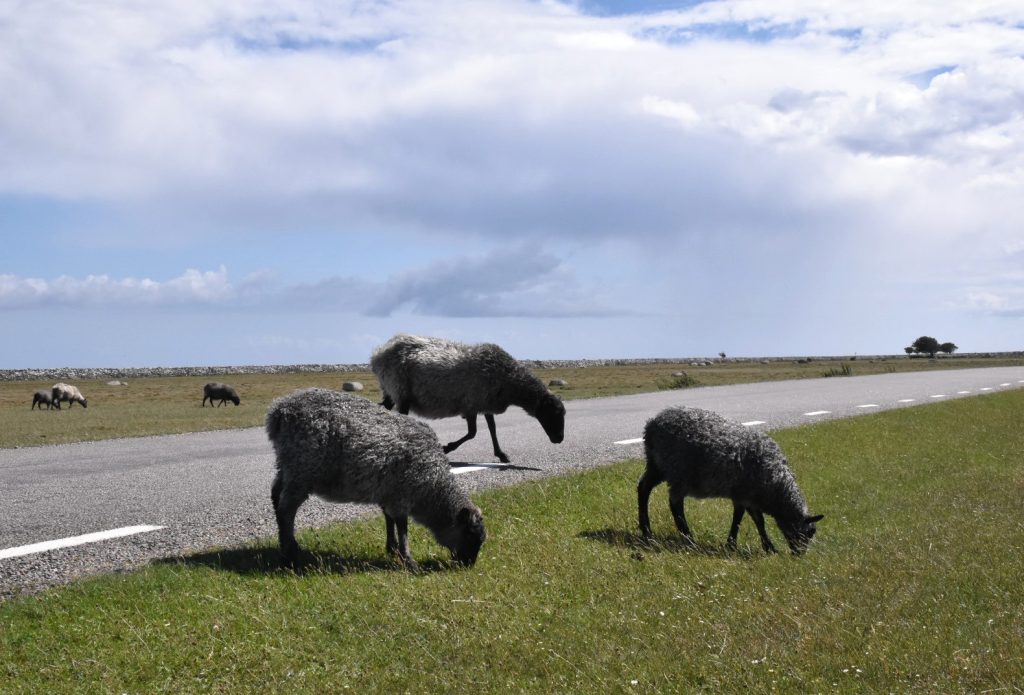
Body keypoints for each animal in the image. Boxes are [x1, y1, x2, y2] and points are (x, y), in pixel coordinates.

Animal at [370, 333, 565, 464]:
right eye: (552, 414)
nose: (559, 439)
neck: (509, 380)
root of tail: (378, 353)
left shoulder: (485, 404)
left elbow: (492, 429)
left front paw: (501, 454)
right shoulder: (471, 404)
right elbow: (473, 433)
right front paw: (446, 448)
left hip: (391, 391)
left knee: (384, 408)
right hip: (400, 390)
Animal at [638, 407, 823, 552]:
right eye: (809, 532)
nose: (799, 554)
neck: (775, 486)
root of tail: (651, 425)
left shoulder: (748, 497)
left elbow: (756, 520)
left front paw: (768, 547)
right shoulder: (743, 494)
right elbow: (743, 519)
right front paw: (733, 545)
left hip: (657, 466)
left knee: (643, 488)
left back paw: (646, 530)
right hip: (678, 472)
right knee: (675, 503)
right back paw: (688, 538)